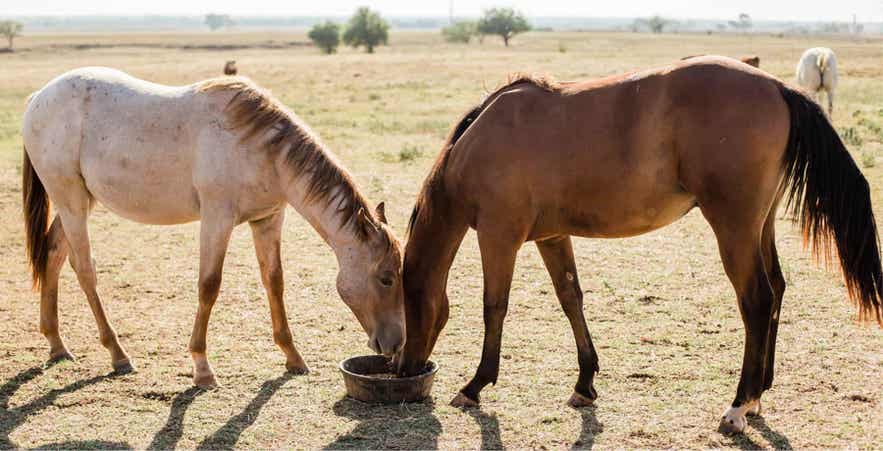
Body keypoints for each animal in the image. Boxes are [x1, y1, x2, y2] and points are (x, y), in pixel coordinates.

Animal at [22, 67, 405, 388]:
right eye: (386, 278)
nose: (395, 344)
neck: (262, 149)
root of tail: (38, 97)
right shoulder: (217, 219)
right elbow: (209, 285)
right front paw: (202, 368)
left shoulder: (267, 220)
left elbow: (274, 281)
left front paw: (292, 356)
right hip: (71, 201)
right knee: (84, 269)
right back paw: (117, 353)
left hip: (78, 202)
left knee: (54, 255)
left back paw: (56, 344)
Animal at [394, 56, 882, 434]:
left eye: (405, 302)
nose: (405, 370)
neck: (483, 138)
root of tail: (778, 88)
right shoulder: (552, 237)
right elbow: (571, 298)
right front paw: (584, 383)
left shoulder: (499, 236)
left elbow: (494, 307)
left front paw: (475, 385)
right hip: (759, 227)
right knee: (777, 288)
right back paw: (759, 394)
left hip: (734, 227)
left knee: (757, 300)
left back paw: (738, 407)